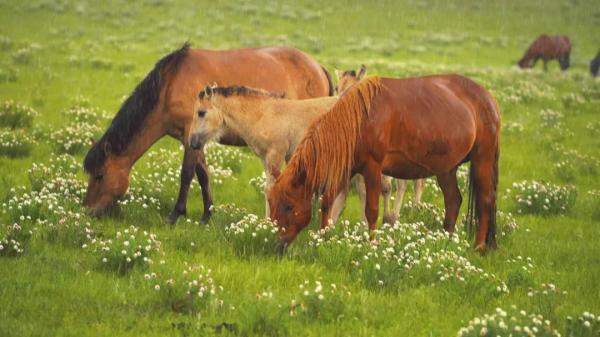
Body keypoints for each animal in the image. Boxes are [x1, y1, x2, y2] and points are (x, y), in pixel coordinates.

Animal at [82, 42, 336, 220]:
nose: (88, 211)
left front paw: (176, 214)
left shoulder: (189, 135)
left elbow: (186, 174)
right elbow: (203, 174)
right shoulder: (195, 139)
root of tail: (318, 67)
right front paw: (207, 215)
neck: (170, 85)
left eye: (100, 175)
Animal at [268, 74, 502, 252]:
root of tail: (488, 97)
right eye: (271, 203)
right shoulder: (346, 170)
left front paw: (372, 244)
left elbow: (371, 210)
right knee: (453, 200)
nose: (277, 245)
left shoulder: (373, 168)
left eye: (288, 206)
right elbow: (327, 203)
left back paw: (479, 247)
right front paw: (323, 238)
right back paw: (446, 240)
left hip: (483, 159)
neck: (359, 120)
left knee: (485, 201)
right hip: (446, 168)